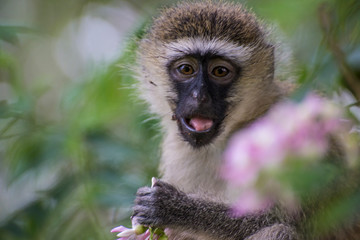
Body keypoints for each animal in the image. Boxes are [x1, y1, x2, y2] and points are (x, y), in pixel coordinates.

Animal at [130, 0, 360, 239]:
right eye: (186, 69)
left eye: (220, 71)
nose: (199, 96)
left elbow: (287, 219)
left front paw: (172, 207)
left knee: (281, 230)